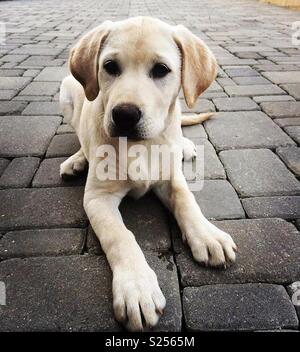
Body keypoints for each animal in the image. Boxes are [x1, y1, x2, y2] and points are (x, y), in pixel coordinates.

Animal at [59, 15, 237, 330]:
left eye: (161, 70)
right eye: (110, 67)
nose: (124, 115)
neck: (139, 146)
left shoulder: (171, 178)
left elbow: (187, 201)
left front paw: (207, 235)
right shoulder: (97, 198)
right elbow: (120, 237)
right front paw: (137, 287)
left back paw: (184, 145)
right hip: (67, 89)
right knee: (80, 132)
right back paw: (77, 160)